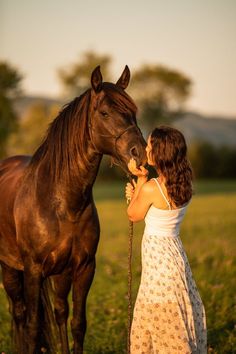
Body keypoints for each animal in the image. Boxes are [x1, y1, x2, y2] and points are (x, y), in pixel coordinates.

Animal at [0, 65, 147, 352]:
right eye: (104, 113)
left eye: (133, 112)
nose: (140, 153)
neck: (62, 203)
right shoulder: (33, 270)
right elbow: (33, 327)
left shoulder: (83, 268)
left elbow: (77, 323)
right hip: (10, 268)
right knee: (20, 314)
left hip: (59, 274)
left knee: (58, 312)